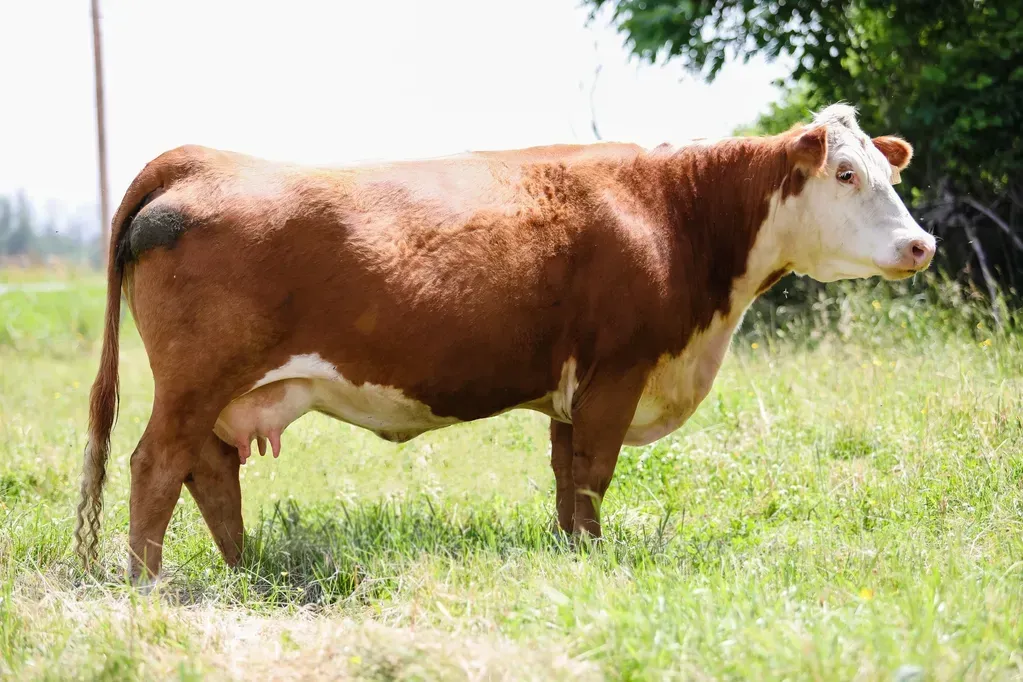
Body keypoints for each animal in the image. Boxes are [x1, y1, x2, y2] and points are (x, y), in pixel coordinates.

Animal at [73, 104, 934, 581]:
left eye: (887, 174)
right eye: (846, 175)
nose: (920, 244)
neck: (678, 215)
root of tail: (201, 158)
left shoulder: (570, 391)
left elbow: (565, 478)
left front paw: (570, 553)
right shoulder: (616, 373)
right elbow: (592, 478)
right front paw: (592, 560)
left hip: (223, 390)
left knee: (209, 471)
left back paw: (243, 572)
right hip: (195, 380)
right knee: (155, 465)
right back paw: (149, 583)